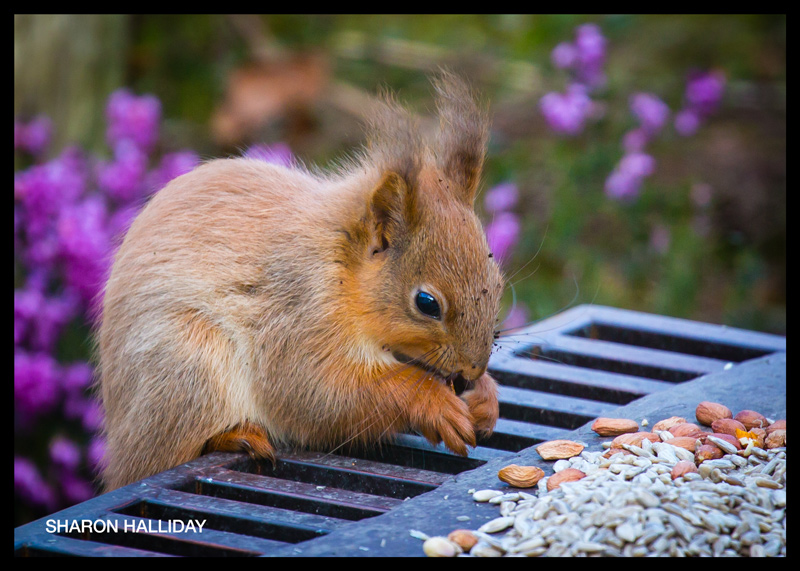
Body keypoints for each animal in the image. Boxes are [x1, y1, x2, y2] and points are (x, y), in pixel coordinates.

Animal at [97, 71, 504, 492]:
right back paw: (236, 436)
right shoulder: (297, 309)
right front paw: (434, 404)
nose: (473, 370)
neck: (341, 264)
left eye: (498, 279)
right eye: (426, 303)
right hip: (187, 361)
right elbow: (317, 392)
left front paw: (485, 398)